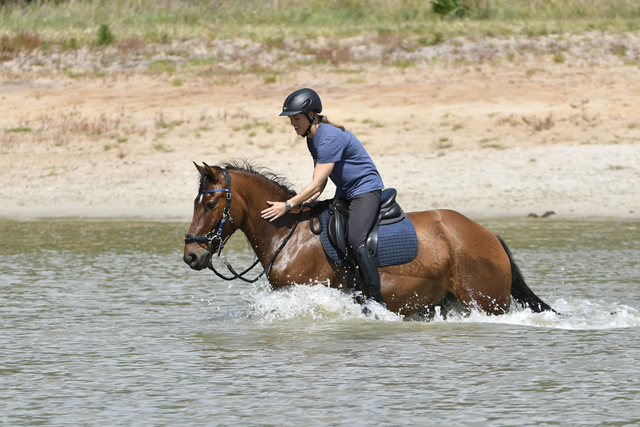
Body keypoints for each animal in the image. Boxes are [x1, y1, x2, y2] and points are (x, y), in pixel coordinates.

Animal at [181, 160, 556, 318]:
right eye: (194, 202)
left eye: (211, 204)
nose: (192, 255)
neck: (288, 232)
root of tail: (488, 235)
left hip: (487, 302)